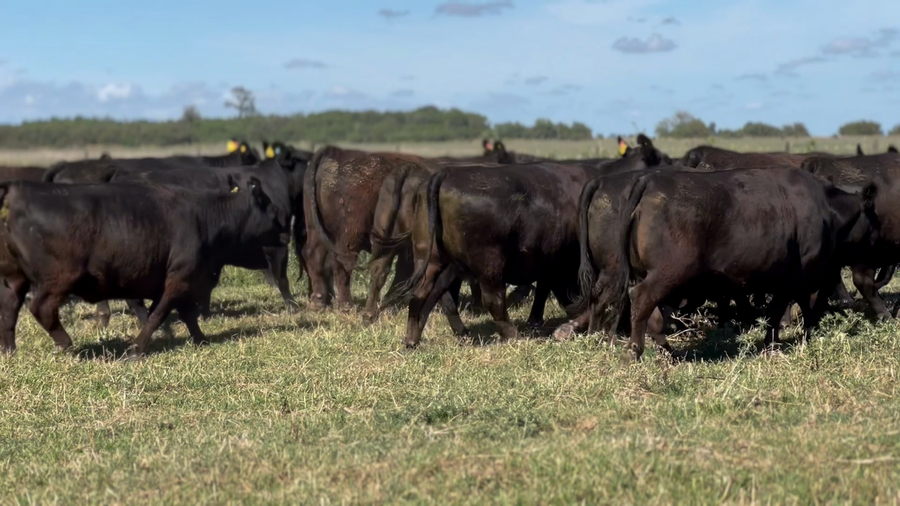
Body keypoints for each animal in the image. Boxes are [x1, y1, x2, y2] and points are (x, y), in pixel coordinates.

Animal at [0, 178, 288, 357]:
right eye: (274, 212)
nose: (287, 234)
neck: (207, 218)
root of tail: (18, 188)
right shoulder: (179, 279)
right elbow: (157, 315)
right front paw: (136, 349)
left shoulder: (183, 280)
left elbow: (186, 315)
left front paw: (201, 340)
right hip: (59, 278)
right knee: (40, 307)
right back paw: (65, 344)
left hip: (15, 278)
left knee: (9, 310)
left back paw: (9, 351)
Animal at [573, 167, 877, 361]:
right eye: (873, 217)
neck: (826, 208)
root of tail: (649, 181)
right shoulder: (797, 275)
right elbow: (788, 308)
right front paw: (782, 341)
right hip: (665, 273)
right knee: (640, 300)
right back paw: (632, 351)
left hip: (639, 273)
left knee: (648, 312)